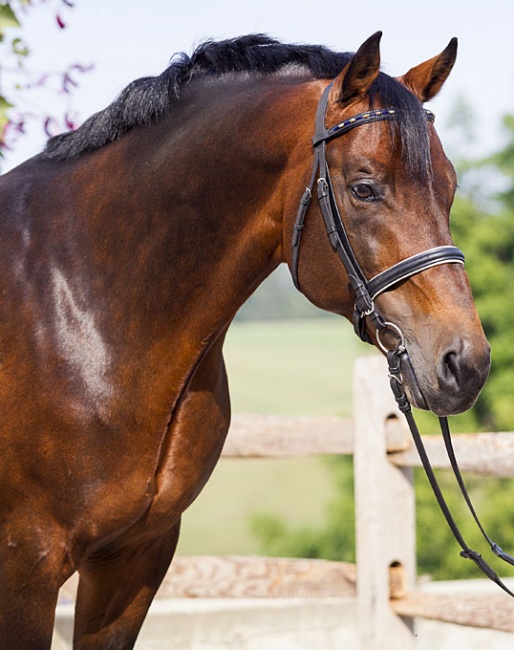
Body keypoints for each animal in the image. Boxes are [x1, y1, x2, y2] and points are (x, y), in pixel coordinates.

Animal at [0, 33, 488, 644]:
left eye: (450, 188)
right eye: (364, 188)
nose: (466, 364)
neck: (80, 301)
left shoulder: (133, 557)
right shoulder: (27, 566)